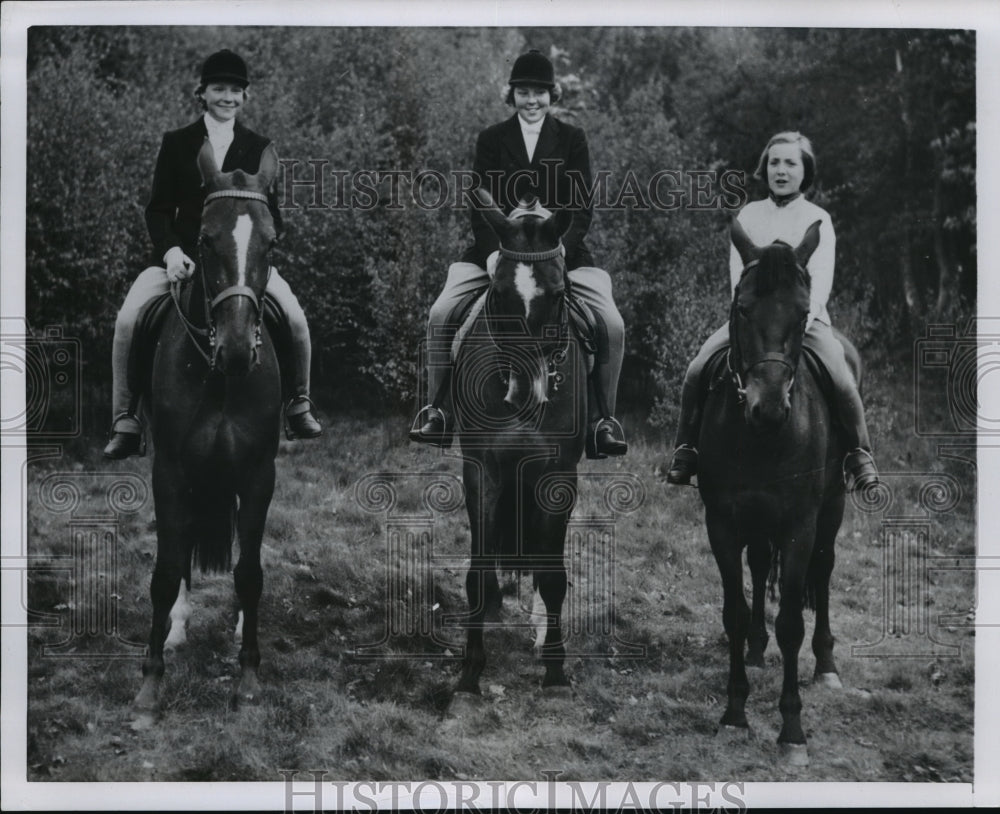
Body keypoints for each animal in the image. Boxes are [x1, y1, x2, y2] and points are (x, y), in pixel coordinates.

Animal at [132, 142, 282, 728]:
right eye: (203, 239)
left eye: (272, 241)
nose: (238, 350)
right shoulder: (171, 472)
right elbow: (166, 569)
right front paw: (150, 686)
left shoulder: (259, 474)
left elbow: (249, 572)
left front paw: (249, 679)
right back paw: (176, 628)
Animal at [452, 188, 584, 704]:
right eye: (500, 294)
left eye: (559, 294)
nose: (524, 394)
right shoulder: (481, 468)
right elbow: (476, 569)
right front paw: (470, 670)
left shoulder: (556, 474)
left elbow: (552, 575)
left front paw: (555, 668)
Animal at [700, 220, 848, 768]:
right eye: (743, 308)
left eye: (803, 312)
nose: (767, 409)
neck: (761, 439)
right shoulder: (721, 523)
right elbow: (735, 611)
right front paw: (734, 712)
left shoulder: (799, 527)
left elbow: (790, 624)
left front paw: (792, 731)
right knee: (761, 566)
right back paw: (756, 650)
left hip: (832, 508)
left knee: (823, 573)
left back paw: (826, 664)